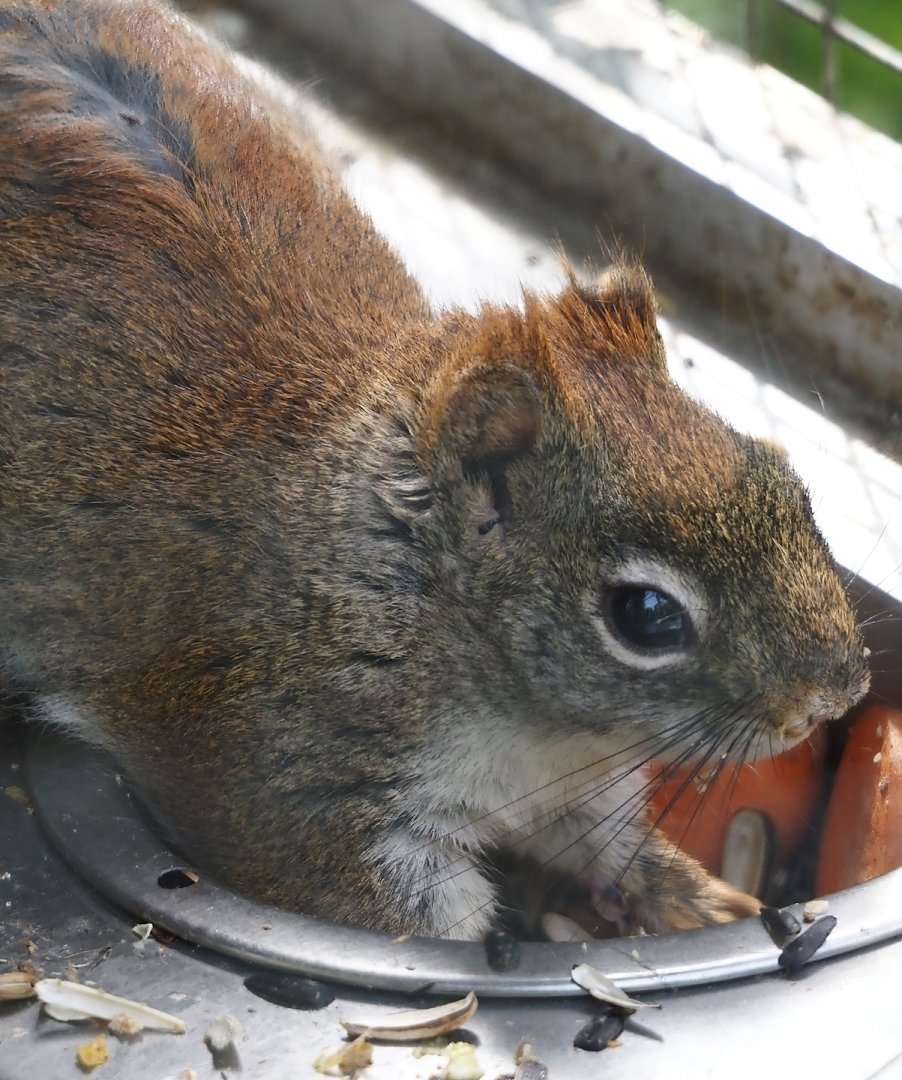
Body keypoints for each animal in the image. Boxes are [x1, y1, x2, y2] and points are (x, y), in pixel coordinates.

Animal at [0, 0, 870, 940]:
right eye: (646, 616)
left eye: (788, 483)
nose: (835, 695)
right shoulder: (289, 782)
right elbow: (409, 911)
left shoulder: (573, 784)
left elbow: (606, 839)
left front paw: (697, 895)